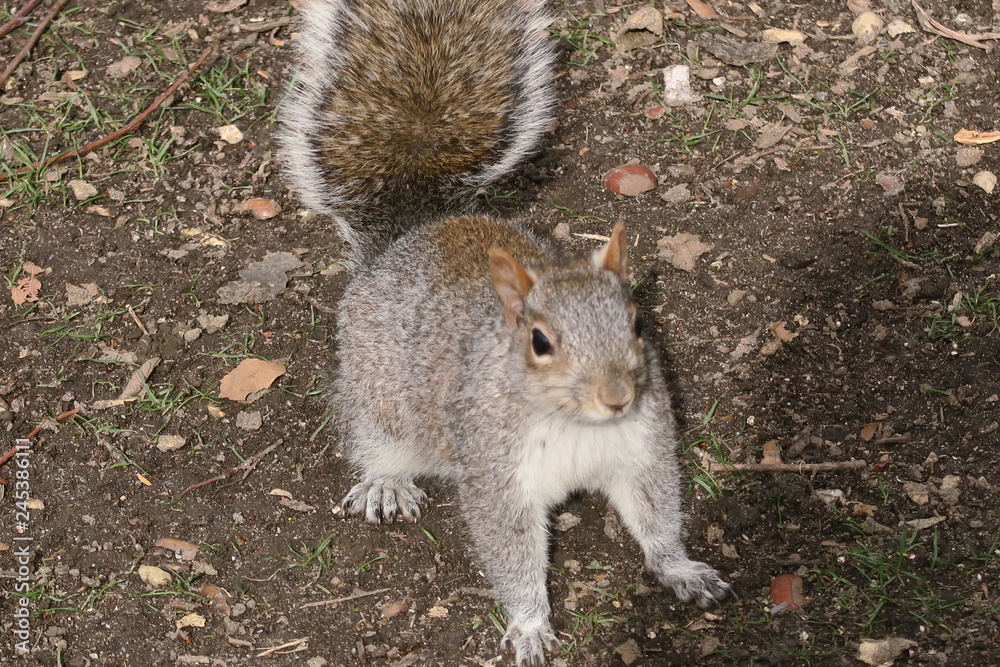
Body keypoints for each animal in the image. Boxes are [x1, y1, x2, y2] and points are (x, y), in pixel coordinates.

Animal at [278, 1, 730, 665]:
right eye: (539, 342)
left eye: (637, 321)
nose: (617, 397)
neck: (575, 424)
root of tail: (410, 235)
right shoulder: (496, 471)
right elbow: (511, 553)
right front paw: (530, 624)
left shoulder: (640, 447)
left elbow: (655, 513)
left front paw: (680, 569)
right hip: (375, 390)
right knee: (372, 436)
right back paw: (386, 481)